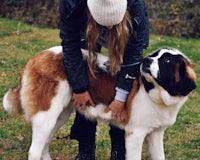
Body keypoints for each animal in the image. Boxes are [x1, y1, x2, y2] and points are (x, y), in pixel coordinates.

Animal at [3, 46, 196, 160]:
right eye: (154, 56)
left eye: (166, 61)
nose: (146, 61)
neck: (156, 92)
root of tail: (37, 57)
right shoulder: (135, 134)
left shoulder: (156, 134)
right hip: (46, 116)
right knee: (35, 149)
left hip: (58, 118)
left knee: (44, 143)